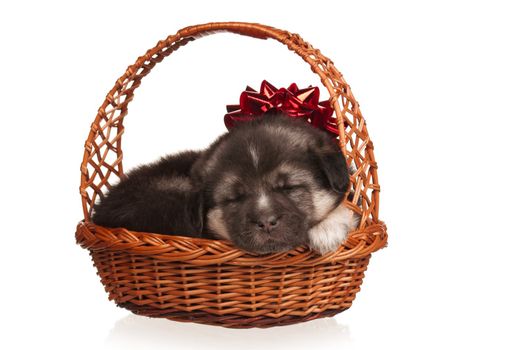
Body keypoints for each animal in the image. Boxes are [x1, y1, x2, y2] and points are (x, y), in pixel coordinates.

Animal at [93, 114, 360, 254]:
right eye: (235, 198)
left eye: (288, 188)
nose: (266, 222)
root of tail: (98, 212)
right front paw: (327, 231)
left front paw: (328, 228)